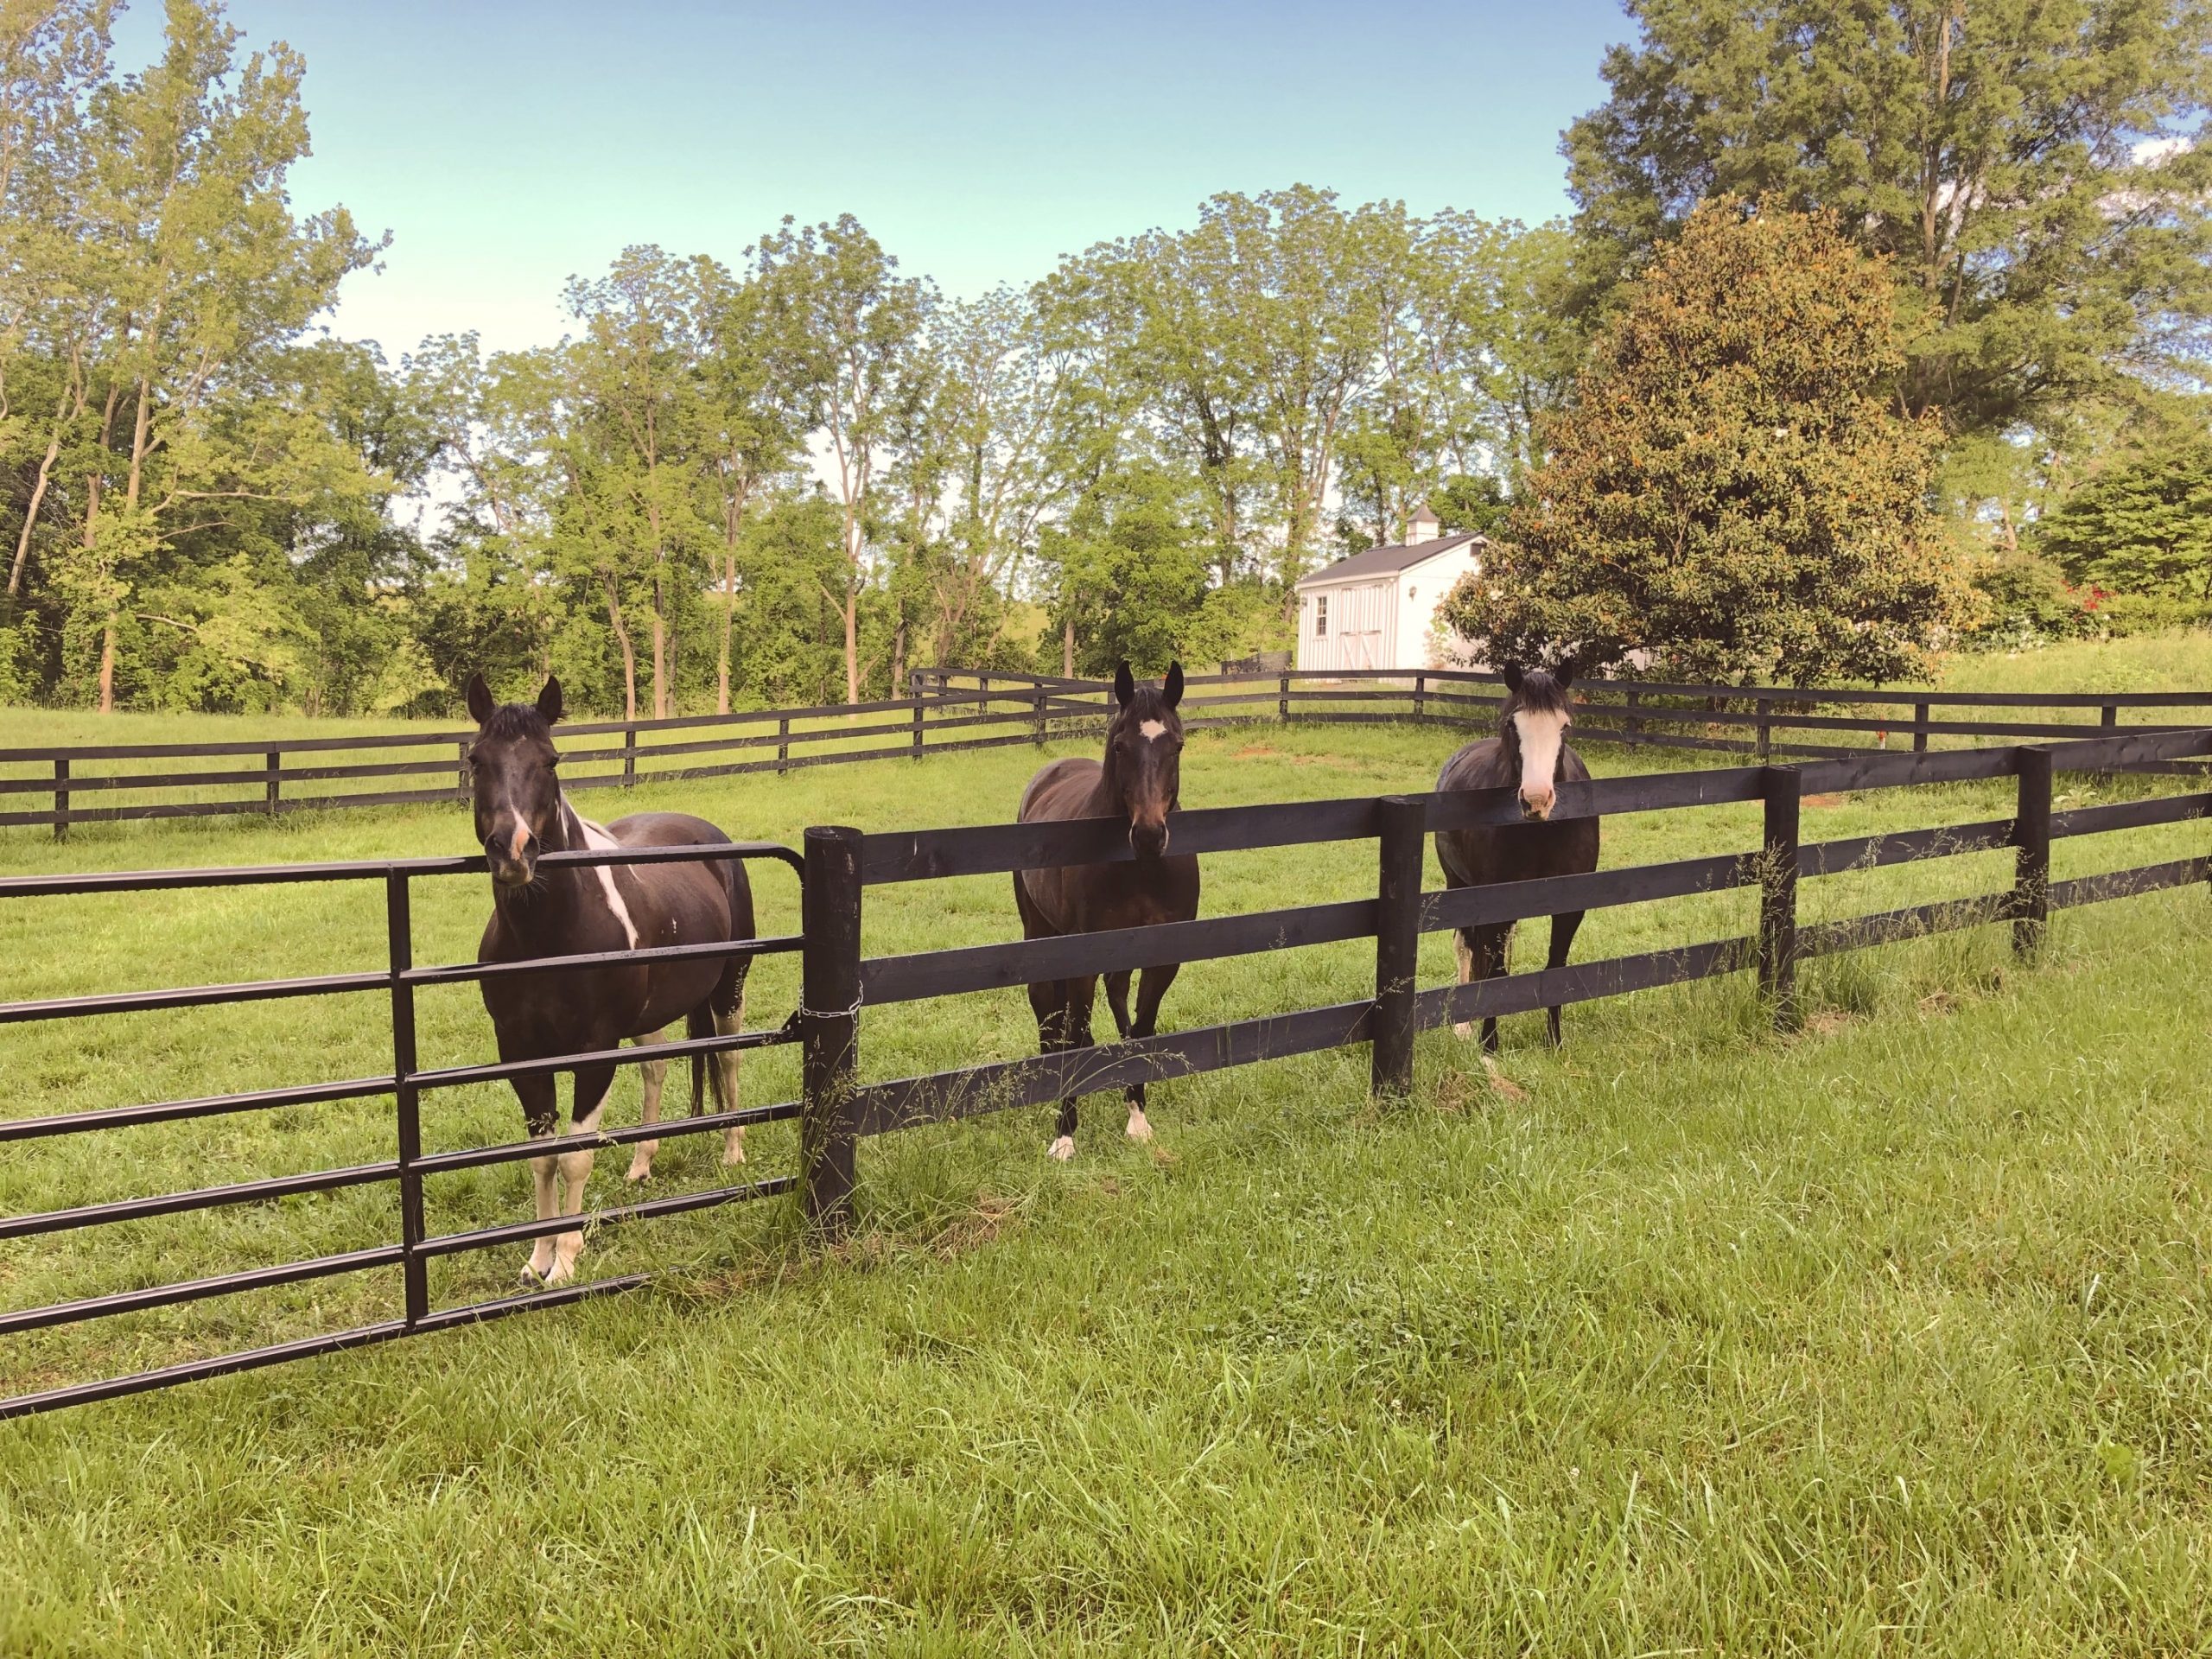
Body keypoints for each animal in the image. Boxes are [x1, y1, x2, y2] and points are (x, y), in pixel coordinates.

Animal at [462, 672, 756, 1282]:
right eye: (477, 759)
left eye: (551, 761)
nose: (513, 850)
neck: (547, 939)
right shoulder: (519, 1050)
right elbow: (543, 1157)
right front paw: (537, 1259)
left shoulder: (595, 1049)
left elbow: (576, 1156)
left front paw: (567, 1261)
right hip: (649, 1017)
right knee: (657, 1067)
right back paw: (642, 1165)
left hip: (728, 991)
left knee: (728, 1059)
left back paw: (732, 1150)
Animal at [1013, 658, 1203, 1159]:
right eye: (1121, 746)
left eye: (1177, 745)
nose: (1150, 836)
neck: (1138, 870)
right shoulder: (1085, 955)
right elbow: (1074, 1025)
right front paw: (1064, 1135)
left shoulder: (1161, 957)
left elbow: (1143, 1027)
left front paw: (1138, 1117)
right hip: (1039, 931)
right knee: (1046, 1008)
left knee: (1114, 998)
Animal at [1442, 664, 1601, 1052]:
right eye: (1513, 727)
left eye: (1564, 726)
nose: (1536, 800)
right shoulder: (1494, 904)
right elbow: (1495, 971)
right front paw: (1489, 1045)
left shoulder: (1570, 907)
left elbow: (1555, 967)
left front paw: (1555, 1041)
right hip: (1458, 885)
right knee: (1466, 946)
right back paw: (1464, 1026)